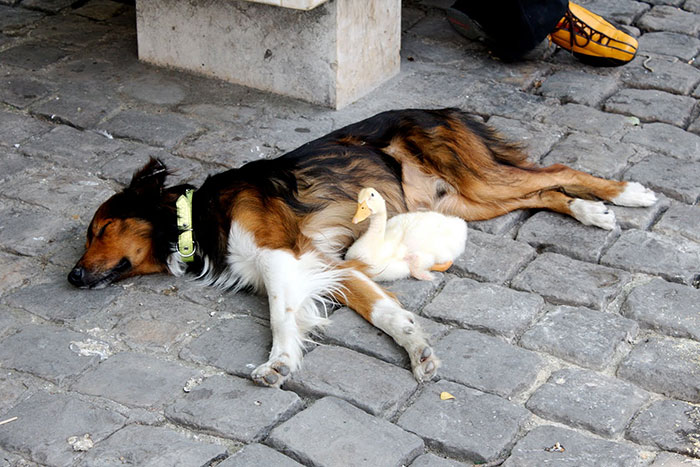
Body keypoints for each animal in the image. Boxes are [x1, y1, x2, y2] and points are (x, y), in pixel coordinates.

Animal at [67, 109, 656, 388]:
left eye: (100, 228)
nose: (71, 278)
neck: (196, 216)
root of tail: (442, 109)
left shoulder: (283, 254)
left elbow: (280, 316)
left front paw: (280, 361)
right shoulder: (327, 262)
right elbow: (386, 312)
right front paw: (418, 349)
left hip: (479, 183)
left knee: (558, 170)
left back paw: (627, 194)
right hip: (468, 202)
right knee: (545, 192)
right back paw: (592, 211)